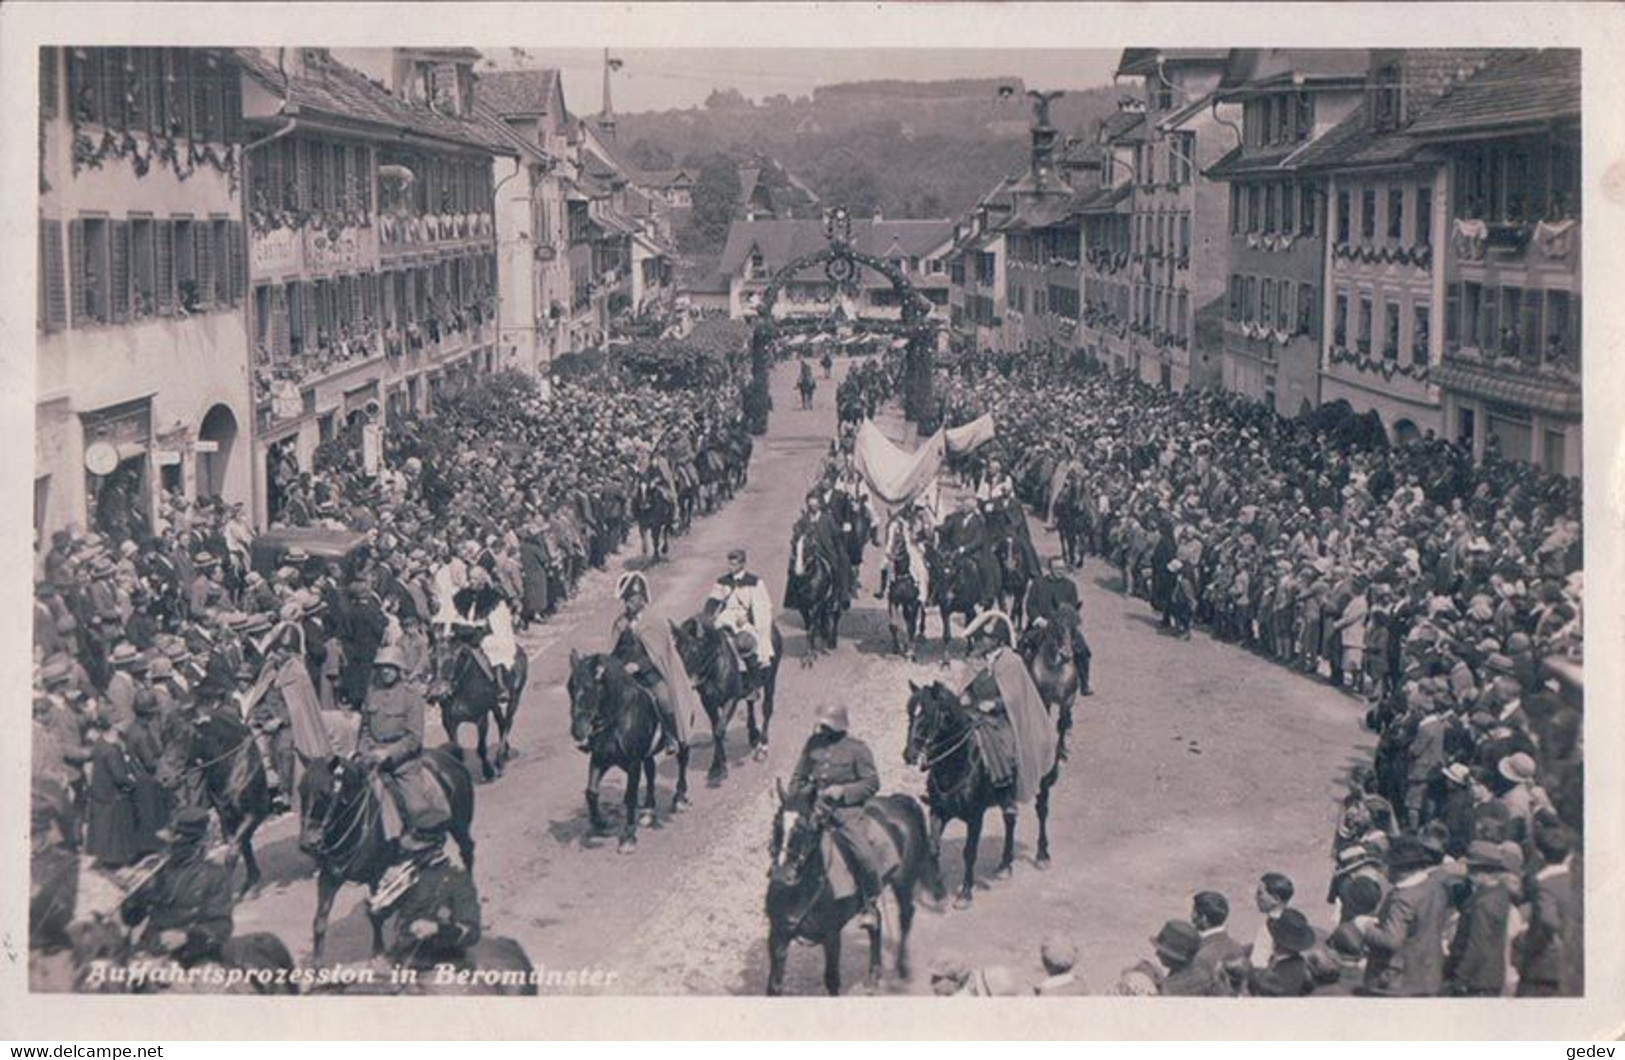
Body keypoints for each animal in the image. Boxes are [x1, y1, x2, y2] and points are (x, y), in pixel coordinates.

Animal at [299, 747, 474, 962]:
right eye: (300, 790)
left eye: (325, 793)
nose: (308, 843)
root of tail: (447, 755)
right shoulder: (329, 876)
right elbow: (320, 921)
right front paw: (316, 967)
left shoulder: (377, 873)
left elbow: (375, 913)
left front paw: (379, 951)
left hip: (460, 826)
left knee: (467, 852)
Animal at [429, 634, 529, 783]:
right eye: (432, 658)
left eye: (454, 658)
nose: (437, 691)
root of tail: (519, 649)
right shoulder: (448, 721)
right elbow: (456, 751)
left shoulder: (481, 718)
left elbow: (481, 748)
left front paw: (488, 772)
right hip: (495, 705)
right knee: (501, 722)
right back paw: (504, 753)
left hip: (514, 698)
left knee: (507, 723)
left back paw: (499, 762)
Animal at [568, 647, 689, 851]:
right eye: (570, 687)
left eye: (589, 688)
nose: (577, 731)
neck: (617, 718)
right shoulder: (600, 759)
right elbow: (591, 791)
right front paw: (601, 823)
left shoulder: (633, 763)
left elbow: (631, 795)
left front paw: (628, 836)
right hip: (646, 755)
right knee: (651, 772)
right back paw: (648, 811)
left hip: (681, 735)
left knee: (682, 761)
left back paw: (679, 799)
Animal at [760, 777, 942, 994]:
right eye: (775, 823)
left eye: (806, 826)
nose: (781, 876)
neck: (799, 892)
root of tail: (899, 802)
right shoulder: (777, 935)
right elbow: (773, 986)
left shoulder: (832, 937)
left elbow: (832, 980)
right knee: (876, 920)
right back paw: (874, 974)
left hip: (903, 882)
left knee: (905, 916)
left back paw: (902, 968)